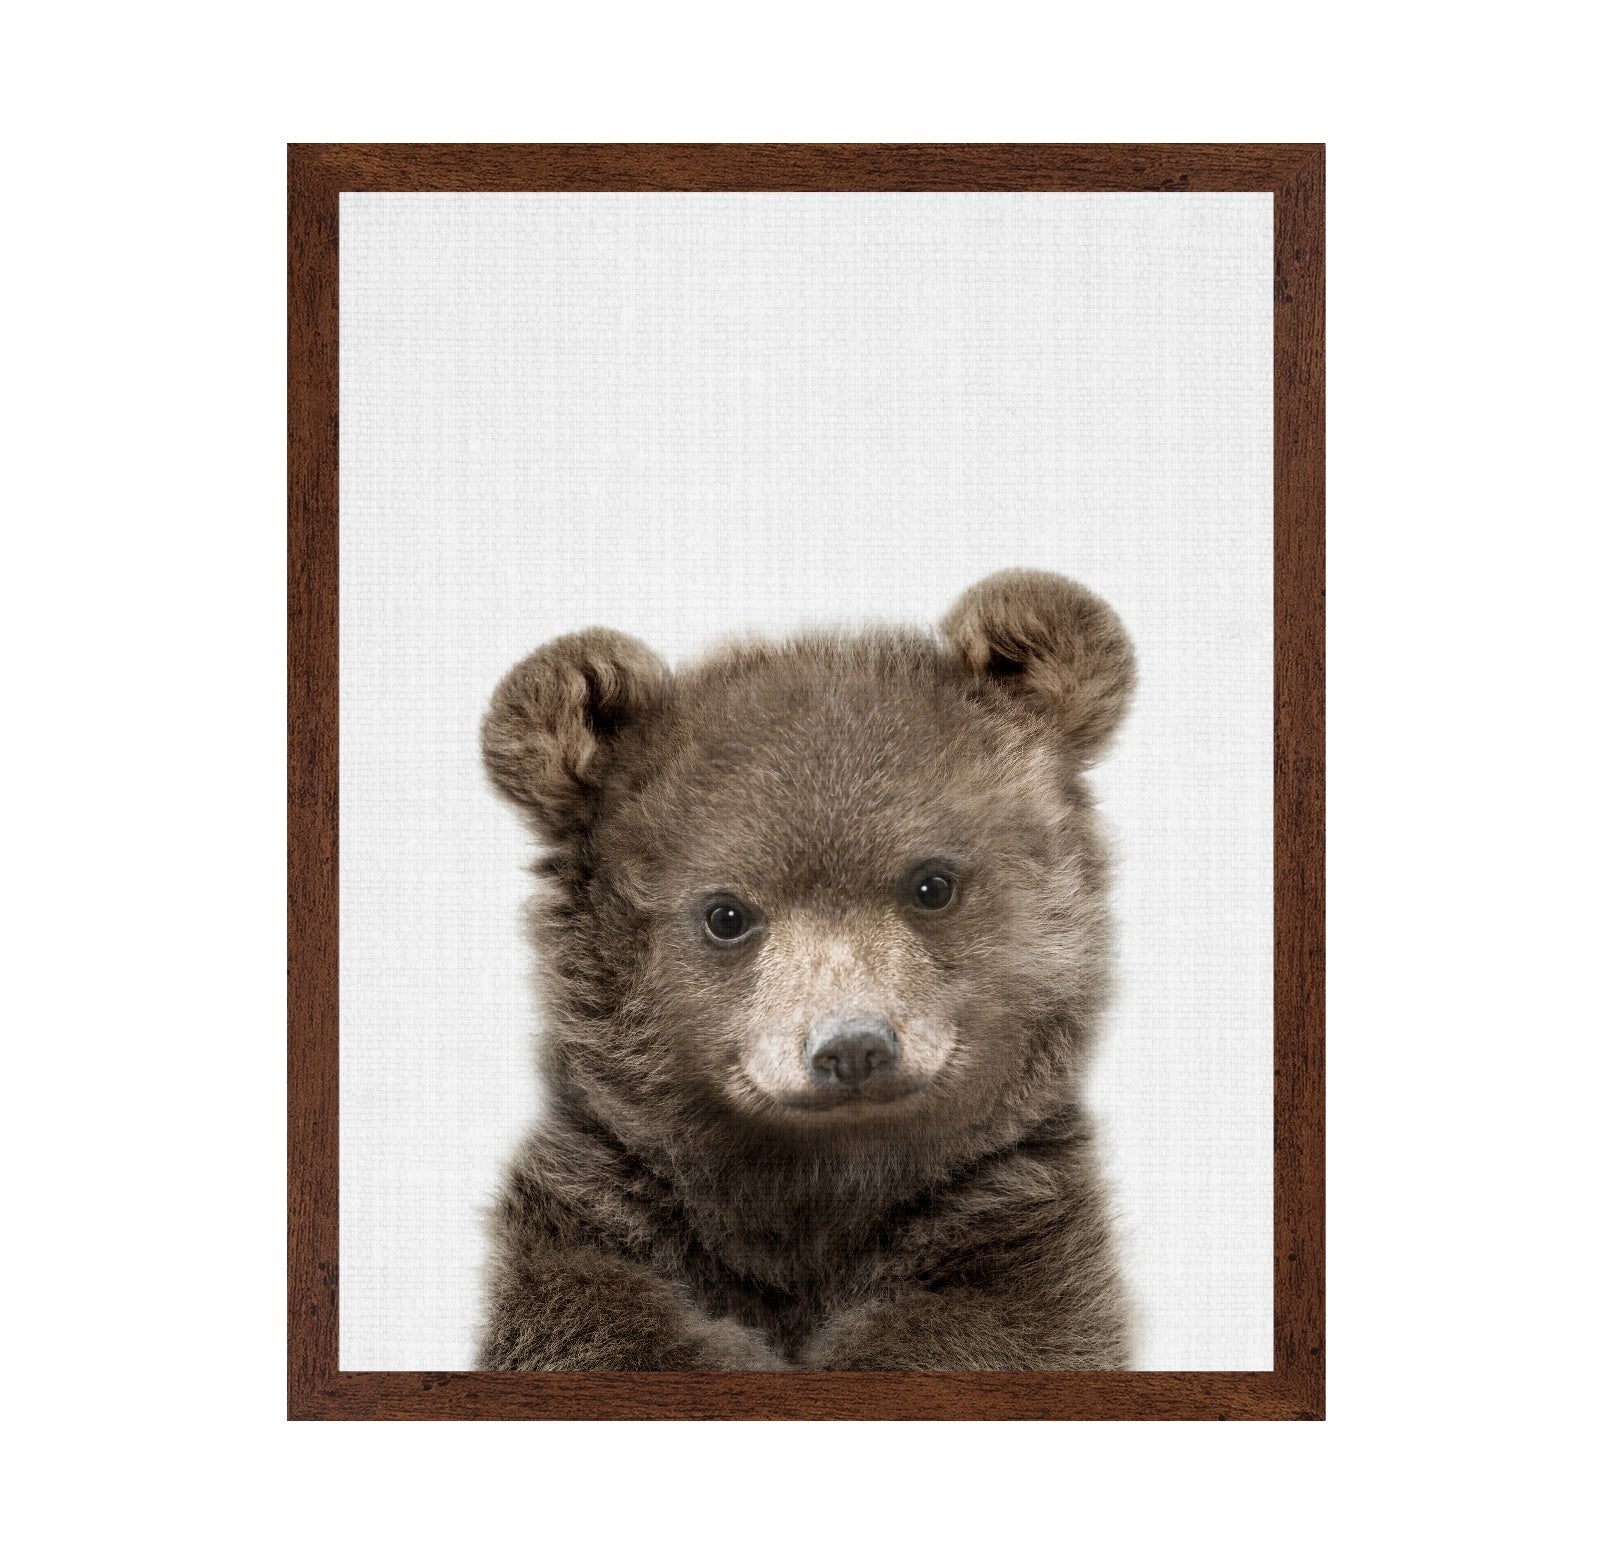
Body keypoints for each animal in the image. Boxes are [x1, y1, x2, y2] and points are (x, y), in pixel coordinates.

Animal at [475, 569, 1136, 1371]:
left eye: (932, 883)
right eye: (726, 913)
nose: (852, 1047)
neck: (815, 1192)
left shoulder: (1009, 1225)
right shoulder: (603, 1208)